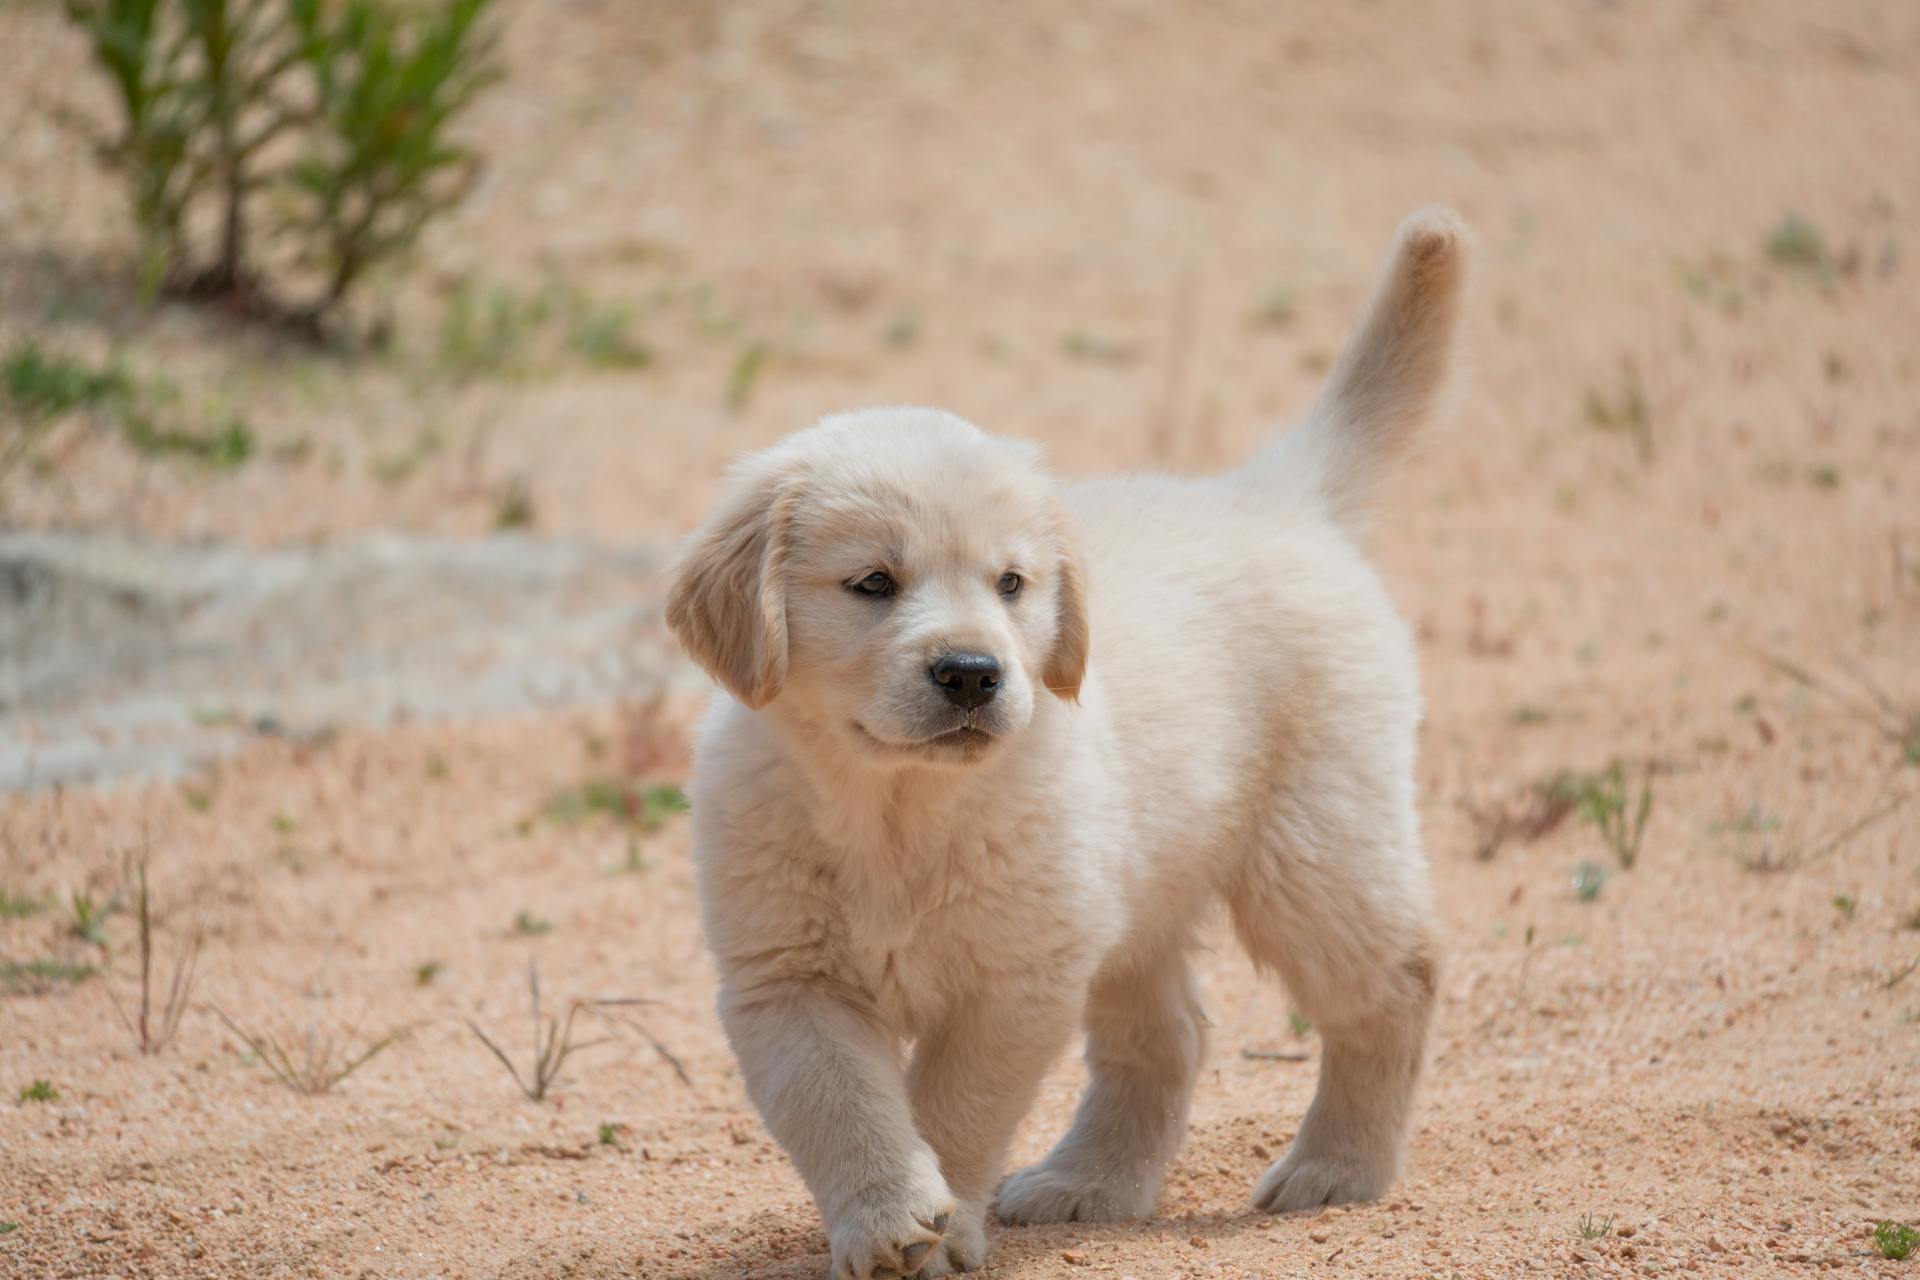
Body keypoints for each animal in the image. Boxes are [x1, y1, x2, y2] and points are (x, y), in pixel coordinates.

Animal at [668, 205, 1459, 1274]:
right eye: (873, 583)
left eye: (1012, 584)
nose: (972, 673)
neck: (895, 807)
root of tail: (1271, 495)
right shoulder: (787, 980)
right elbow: (843, 1108)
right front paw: (888, 1221)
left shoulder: (1013, 980)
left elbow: (951, 1108)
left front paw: (944, 1230)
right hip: (1135, 897)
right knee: (1171, 1037)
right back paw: (1092, 1182)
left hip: (1315, 850)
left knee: (1396, 982)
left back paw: (1338, 1168)